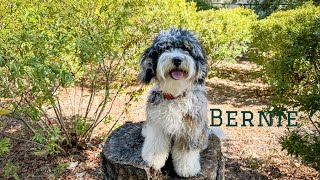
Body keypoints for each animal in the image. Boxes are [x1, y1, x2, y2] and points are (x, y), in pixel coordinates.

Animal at [138, 27, 209, 177]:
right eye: (166, 48)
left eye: (186, 49)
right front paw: (152, 159)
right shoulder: (157, 124)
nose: (177, 59)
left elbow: (186, 151)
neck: (175, 95)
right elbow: (156, 144)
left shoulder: (191, 127)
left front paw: (187, 168)